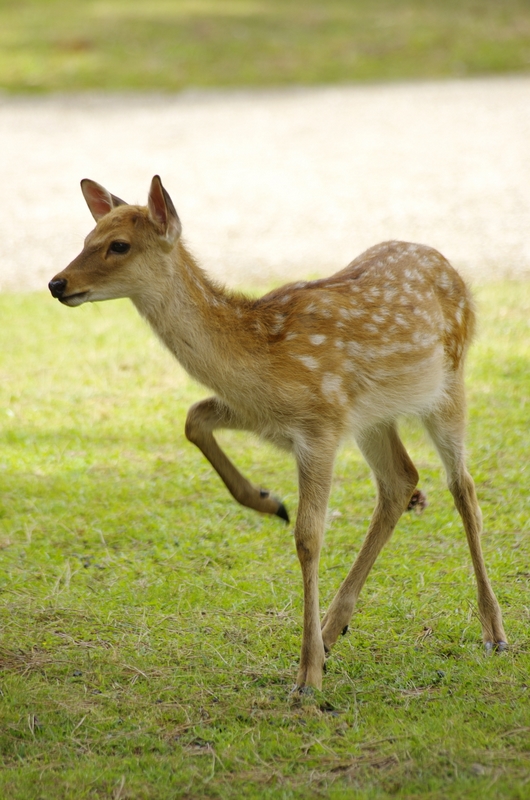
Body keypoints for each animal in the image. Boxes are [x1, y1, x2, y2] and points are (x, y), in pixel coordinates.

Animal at [47, 178, 506, 692]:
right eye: (86, 237)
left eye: (119, 245)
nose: (57, 283)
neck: (261, 356)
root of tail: (449, 265)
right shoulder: (262, 414)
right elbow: (193, 418)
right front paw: (268, 501)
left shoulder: (321, 426)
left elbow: (309, 537)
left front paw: (307, 676)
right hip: (372, 417)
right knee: (400, 480)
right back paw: (332, 628)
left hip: (449, 383)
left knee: (463, 488)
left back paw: (493, 632)